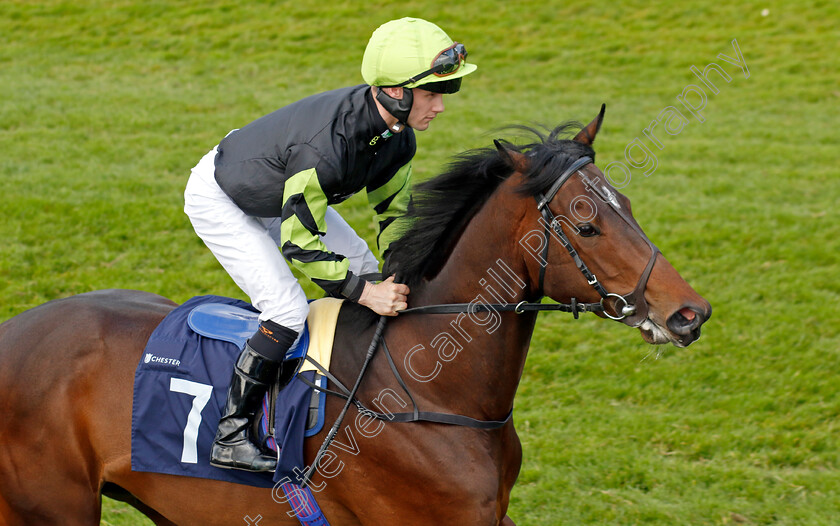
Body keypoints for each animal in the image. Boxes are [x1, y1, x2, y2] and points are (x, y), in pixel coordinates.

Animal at [0, 108, 708, 526]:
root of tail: (13, 333)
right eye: (587, 225)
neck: (428, 389)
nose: (688, 314)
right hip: (49, 510)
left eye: (628, 208)